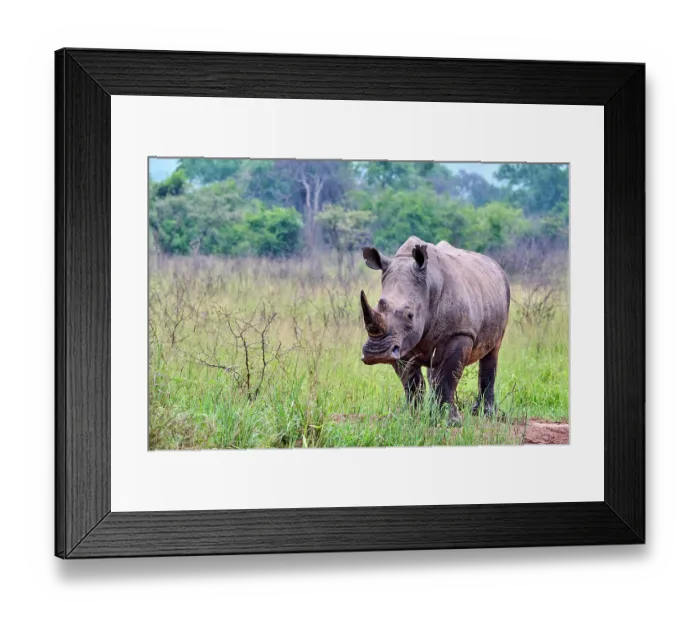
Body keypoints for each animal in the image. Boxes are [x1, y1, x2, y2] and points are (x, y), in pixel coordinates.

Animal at [360, 236, 510, 424]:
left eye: (410, 315)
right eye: (377, 306)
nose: (377, 353)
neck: (429, 286)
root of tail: (496, 265)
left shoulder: (459, 333)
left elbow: (448, 377)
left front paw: (450, 421)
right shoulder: (400, 343)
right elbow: (411, 382)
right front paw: (410, 416)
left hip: (503, 294)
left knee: (492, 351)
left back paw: (485, 414)